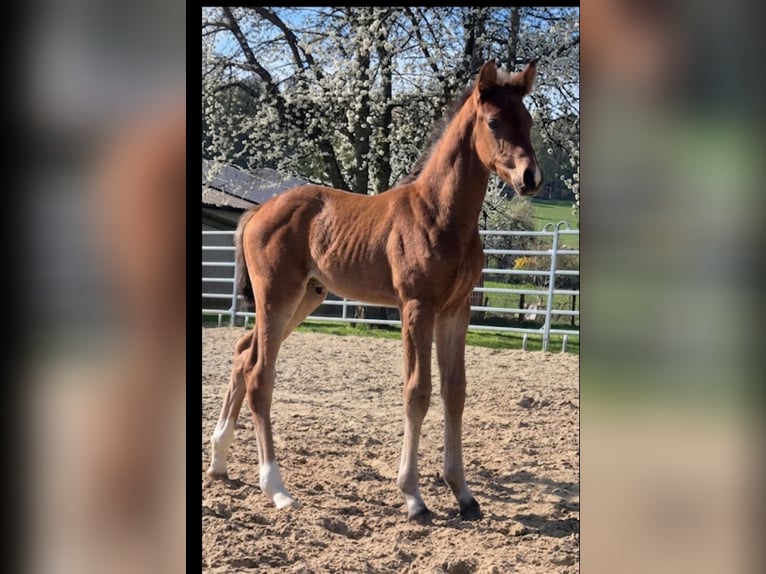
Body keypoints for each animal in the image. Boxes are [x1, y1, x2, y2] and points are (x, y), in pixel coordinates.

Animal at [206, 60, 542, 522]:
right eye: (493, 122)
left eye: (527, 120)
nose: (531, 178)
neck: (440, 213)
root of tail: (256, 212)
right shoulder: (417, 306)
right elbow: (417, 391)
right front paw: (414, 497)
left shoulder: (456, 310)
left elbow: (455, 391)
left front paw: (463, 493)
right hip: (277, 297)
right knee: (259, 375)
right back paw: (276, 488)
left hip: (306, 297)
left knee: (242, 355)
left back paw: (219, 460)